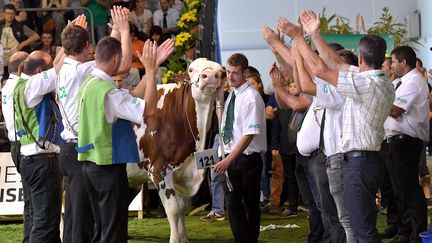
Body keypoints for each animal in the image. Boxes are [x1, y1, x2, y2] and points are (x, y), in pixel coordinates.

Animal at [132, 58, 224, 243]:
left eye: (220, 71)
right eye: (191, 69)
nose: (210, 75)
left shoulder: (183, 174)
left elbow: (182, 208)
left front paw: (183, 239)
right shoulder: (159, 170)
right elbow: (173, 210)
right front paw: (175, 239)